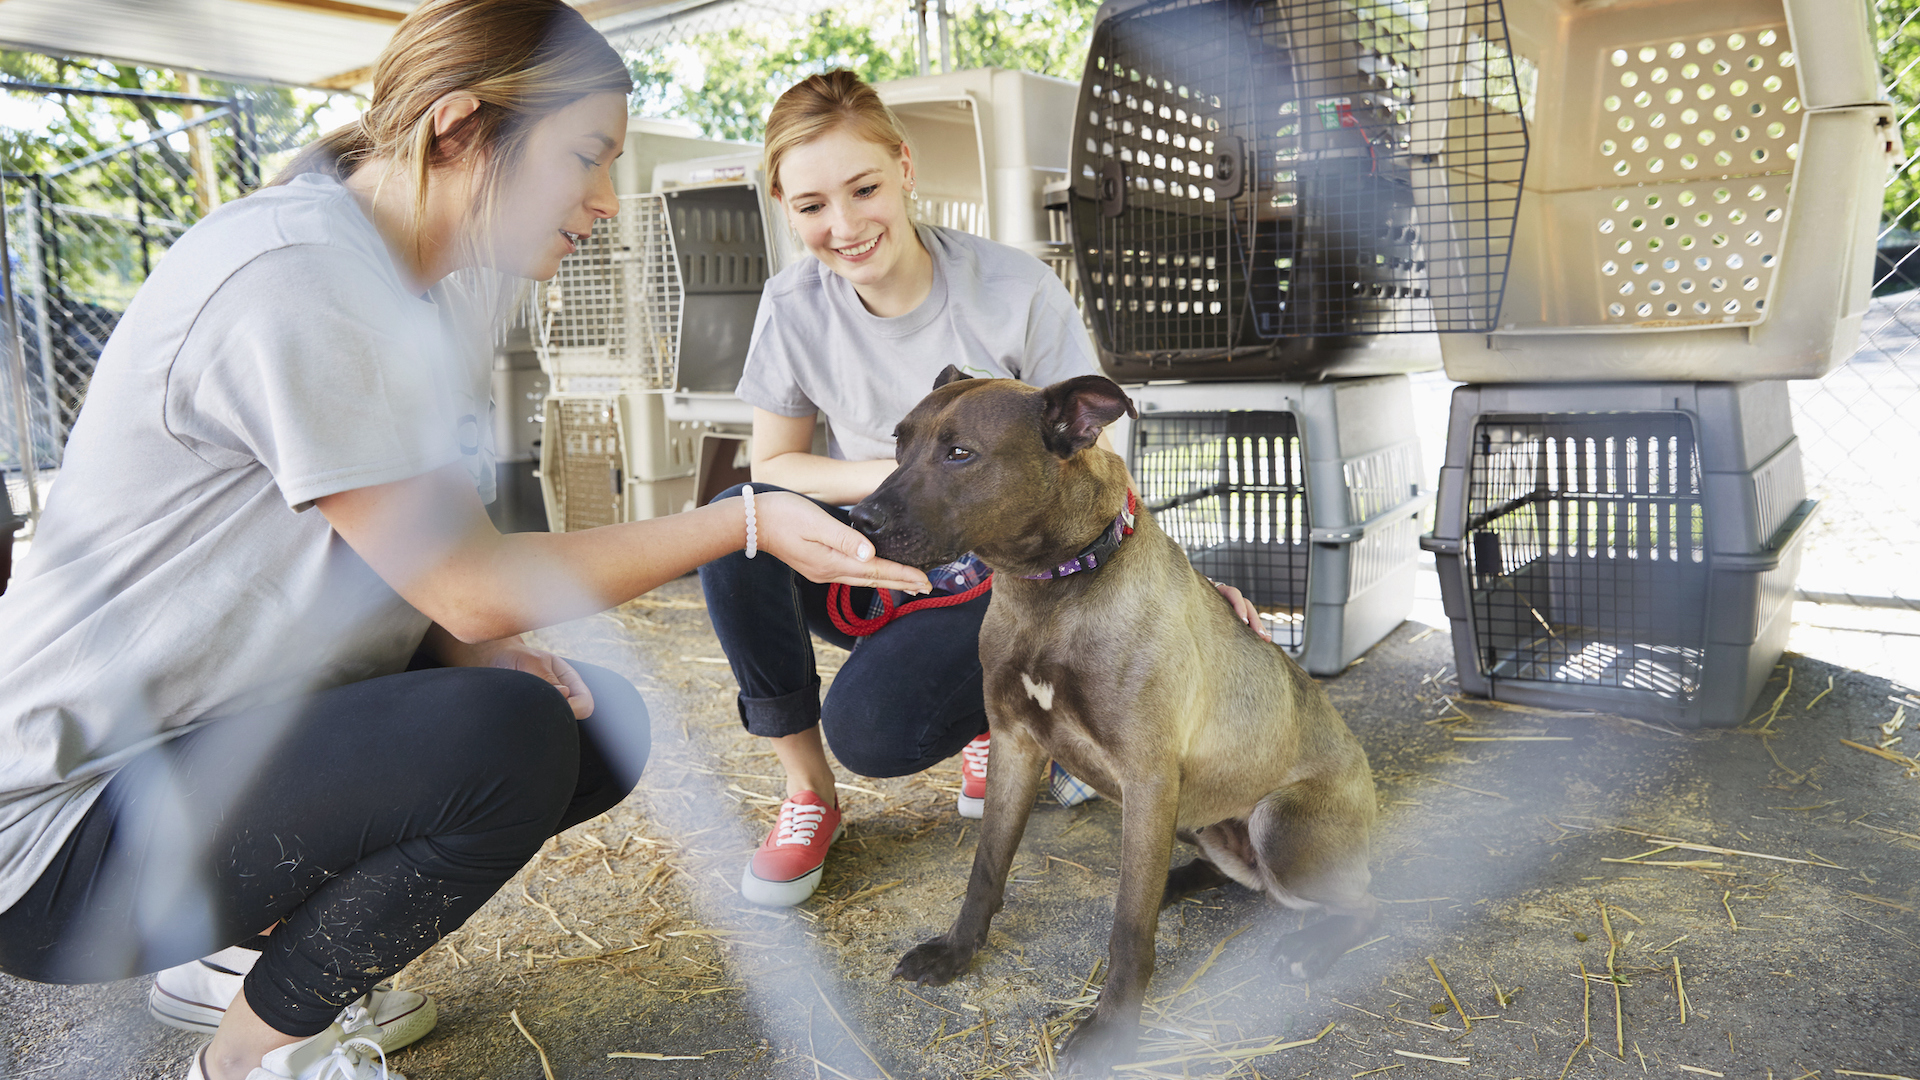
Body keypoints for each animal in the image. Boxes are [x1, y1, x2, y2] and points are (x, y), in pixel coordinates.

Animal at [856, 367, 1382, 1068]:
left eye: (960, 453)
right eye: (899, 442)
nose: (856, 519)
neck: (1054, 589)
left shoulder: (1148, 778)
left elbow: (1129, 926)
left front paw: (1112, 1027)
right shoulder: (1016, 745)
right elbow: (986, 868)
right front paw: (957, 951)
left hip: (1277, 824)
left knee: (1365, 904)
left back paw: (1307, 945)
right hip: (1195, 817)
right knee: (1235, 878)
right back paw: (1178, 884)